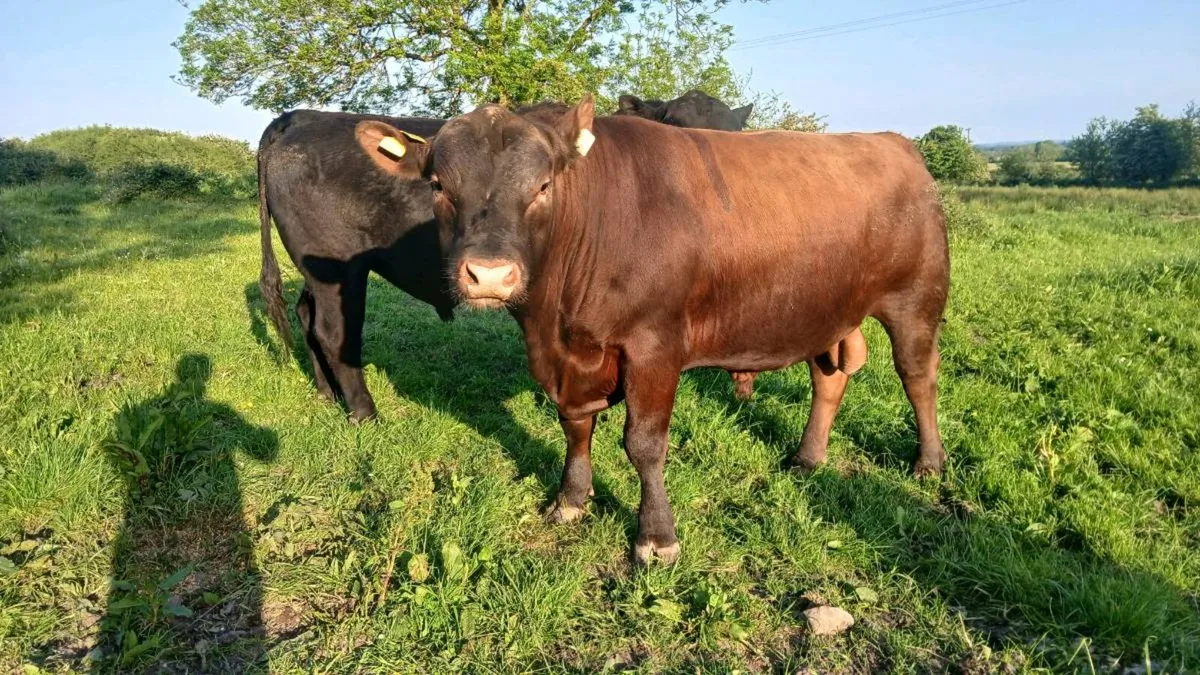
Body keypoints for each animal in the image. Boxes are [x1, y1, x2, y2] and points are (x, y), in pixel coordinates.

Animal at [257, 97, 764, 422]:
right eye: (675, 121)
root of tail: (303, 117)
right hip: (339, 269)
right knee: (334, 332)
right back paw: (363, 412)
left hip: (318, 272)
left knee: (307, 318)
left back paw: (327, 394)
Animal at [354, 96, 950, 565]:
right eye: (438, 185)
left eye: (543, 186)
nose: (489, 274)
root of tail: (894, 143)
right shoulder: (568, 358)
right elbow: (575, 426)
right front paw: (570, 501)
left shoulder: (655, 346)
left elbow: (643, 444)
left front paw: (656, 538)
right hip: (823, 309)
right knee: (829, 376)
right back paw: (808, 458)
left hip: (917, 298)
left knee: (917, 377)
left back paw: (928, 463)